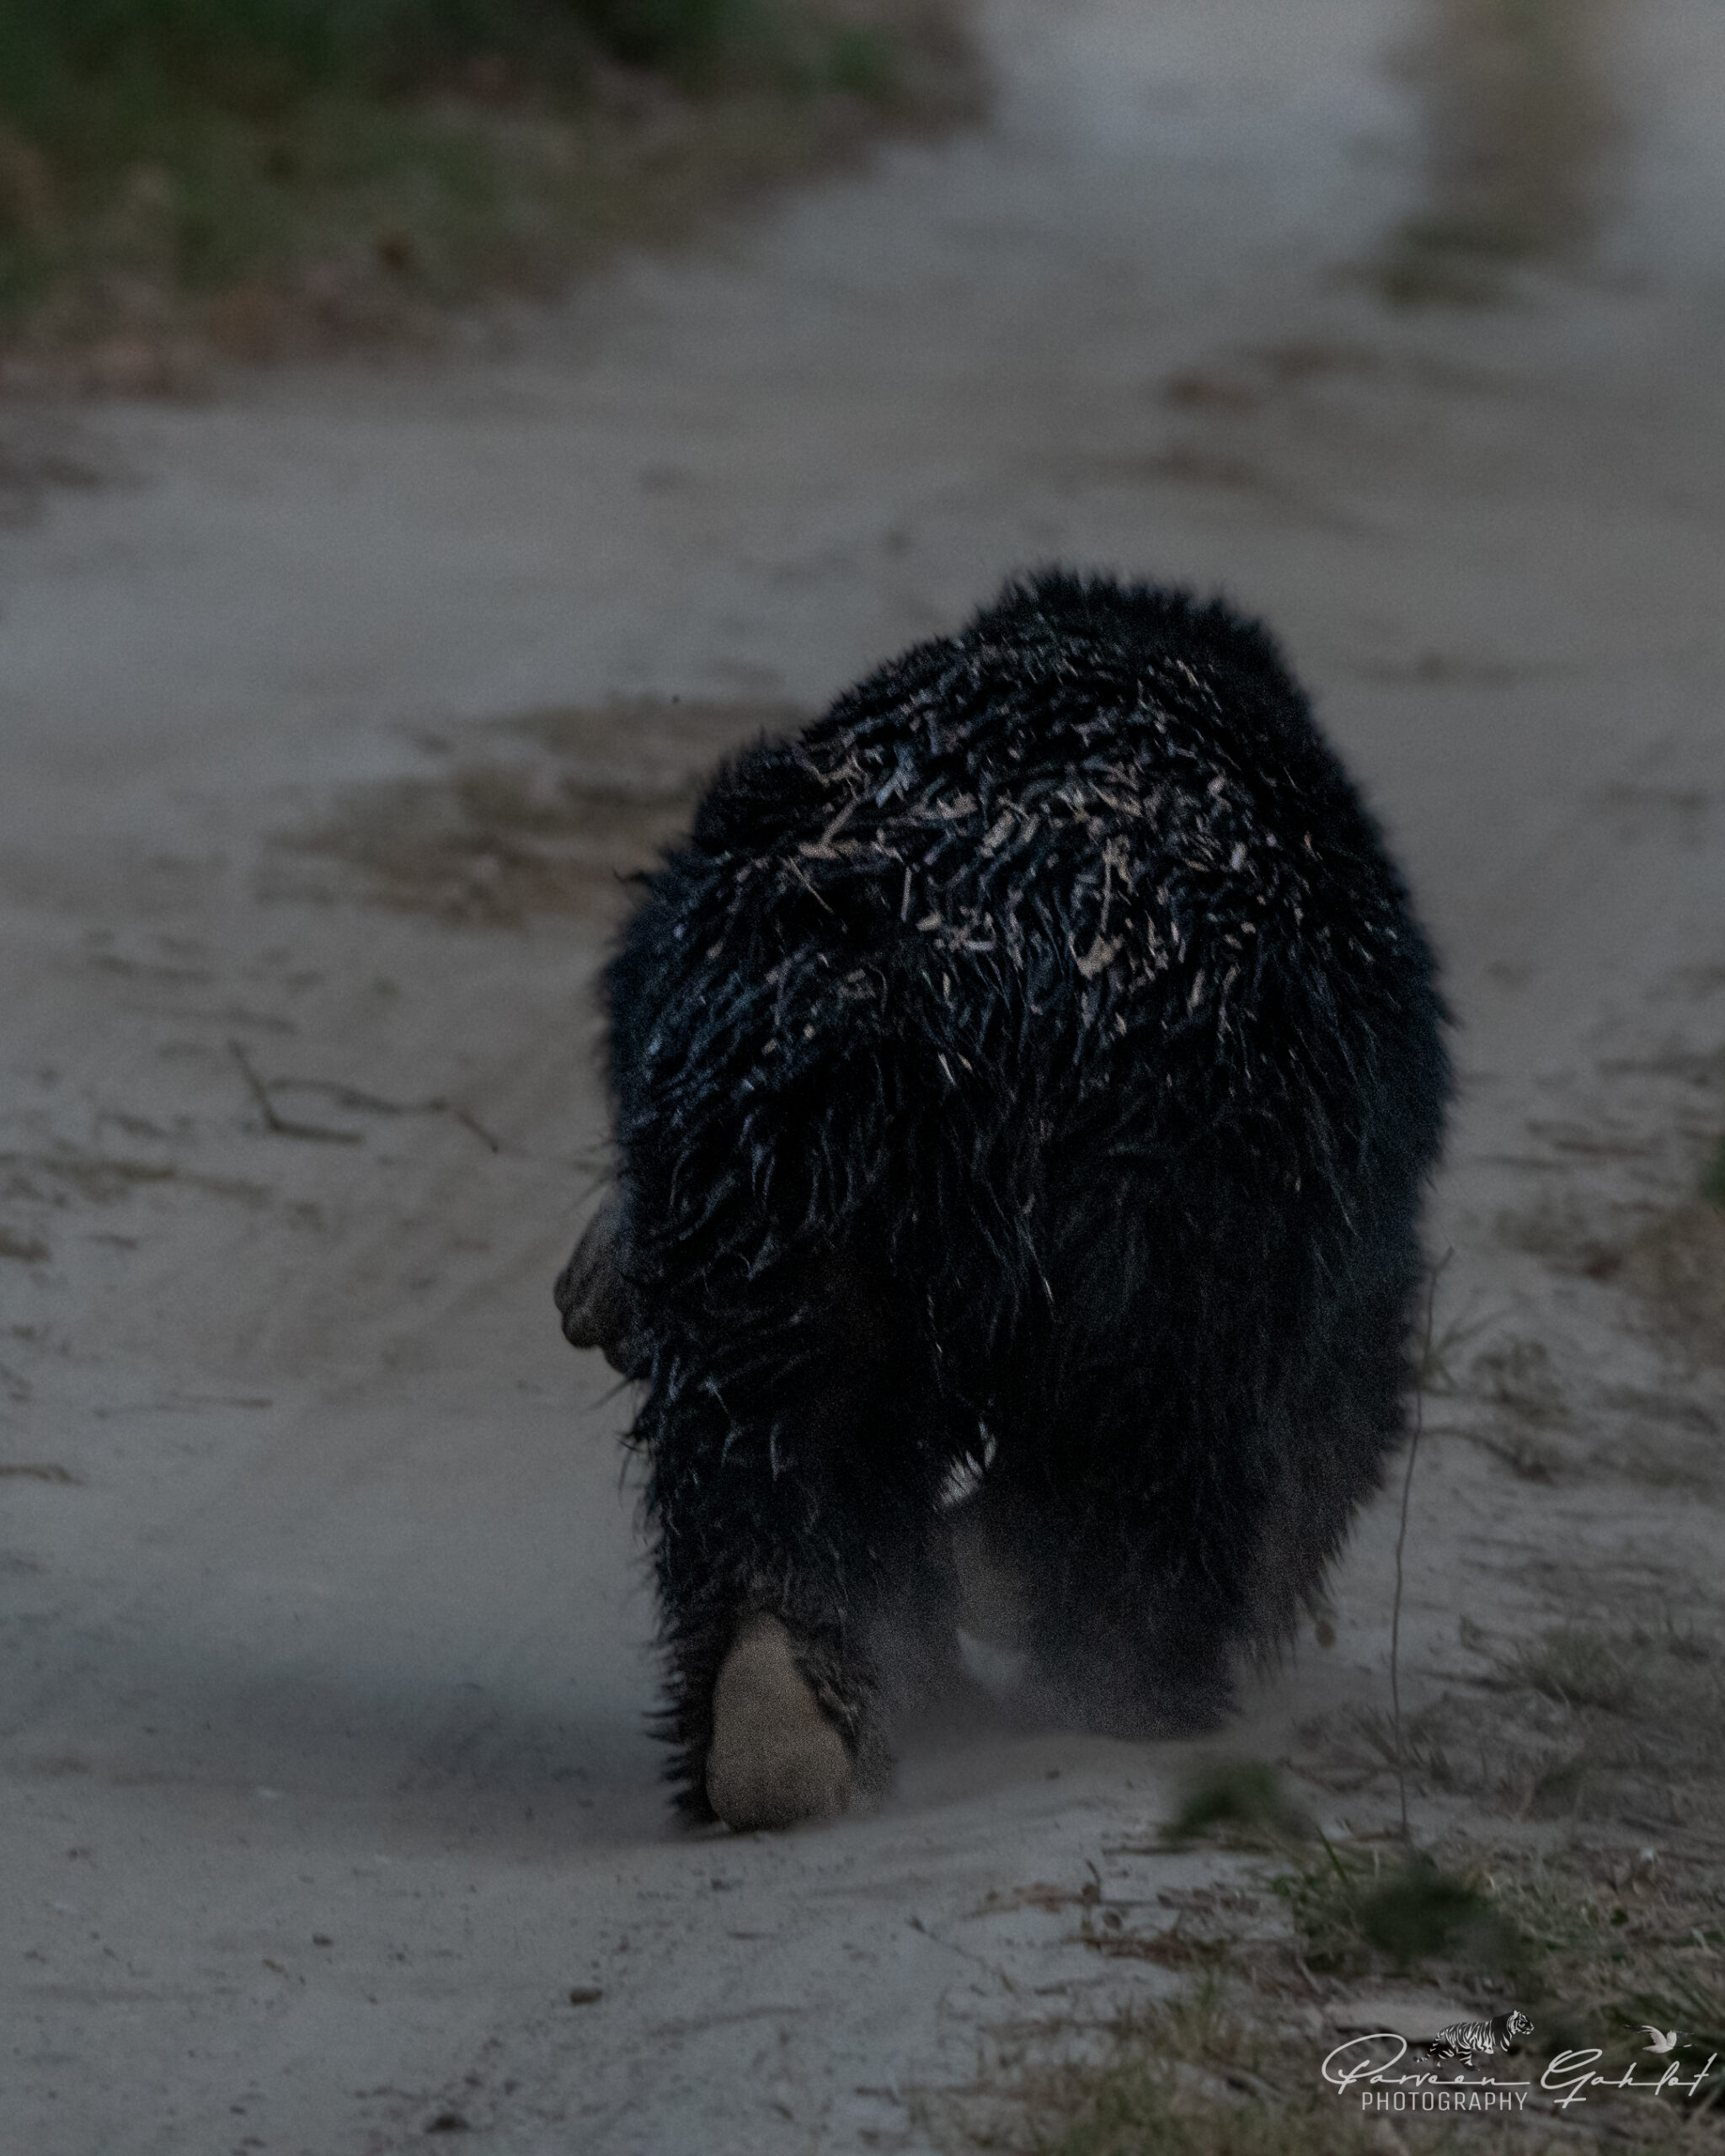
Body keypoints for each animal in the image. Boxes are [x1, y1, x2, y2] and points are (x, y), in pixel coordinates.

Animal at [555, 569, 1449, 1831]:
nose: (583, 1302)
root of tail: (914, 984)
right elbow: (1335, 1402)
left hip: (777, 1178)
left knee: (786, 1422)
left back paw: (782, 1720)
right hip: (1182, 1192)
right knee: (1171, 1432)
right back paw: (1114, 1672)